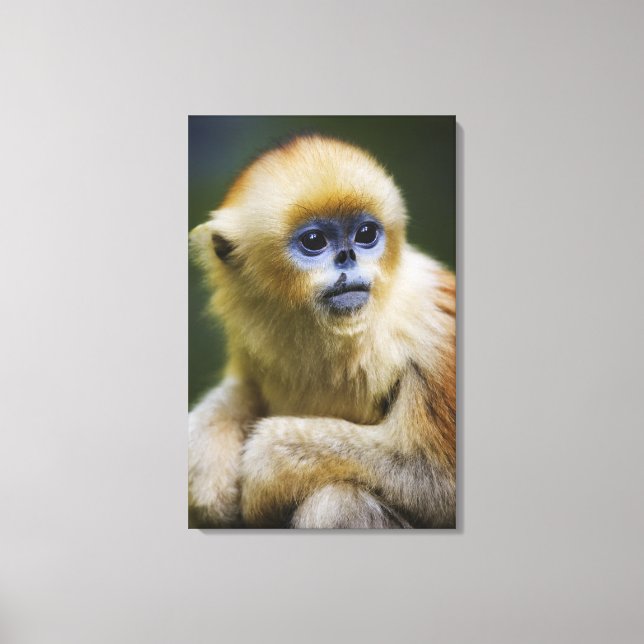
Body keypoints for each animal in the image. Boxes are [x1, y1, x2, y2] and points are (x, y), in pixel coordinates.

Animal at [189, 134, 455, 529]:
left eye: (365, 234)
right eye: (314, 241)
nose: (348, 256)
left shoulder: (429, 328)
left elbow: (437, 480)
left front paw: (267, 465)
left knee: (337, 500)